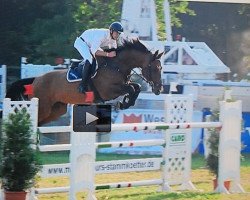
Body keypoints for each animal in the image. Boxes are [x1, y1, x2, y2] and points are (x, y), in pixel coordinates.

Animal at [6, 39, 164, 125]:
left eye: (161, 68)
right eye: (154, 68)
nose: (159, 89)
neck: (116, 65)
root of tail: (36, 80)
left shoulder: (122, 85)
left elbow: (136, 87)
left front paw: (126, 102)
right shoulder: (108, 91)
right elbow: (131, 89)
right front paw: (123, 103)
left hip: (56, 110)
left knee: (39, 122)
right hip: (44, 107)